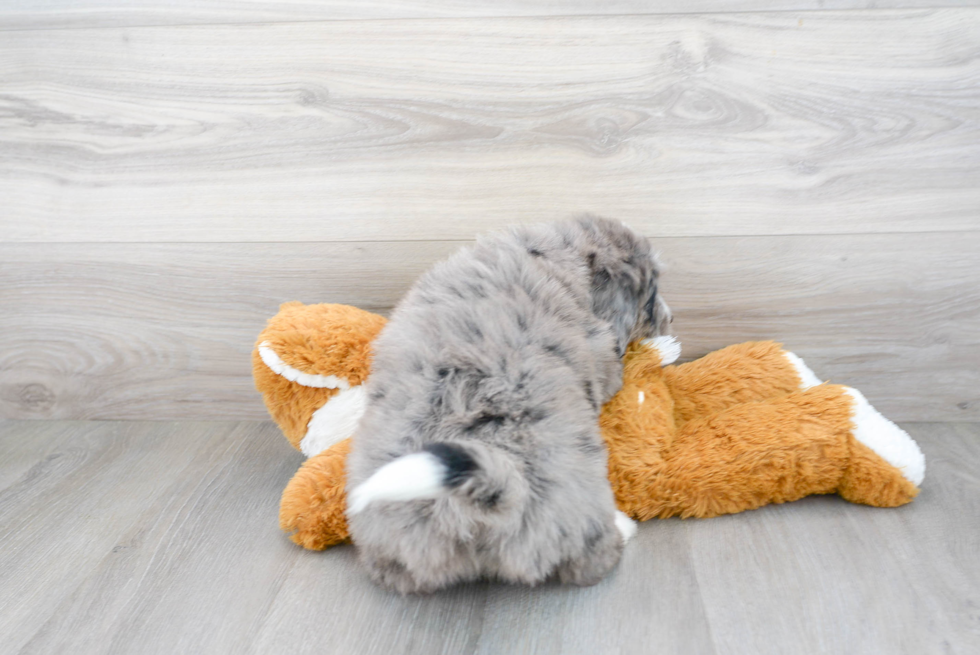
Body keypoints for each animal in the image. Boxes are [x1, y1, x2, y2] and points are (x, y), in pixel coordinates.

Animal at [344, 217, 672, 596]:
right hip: (581, 516)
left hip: (392, 551)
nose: (671, 319)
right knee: (592, 559)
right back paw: (623, 528)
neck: (553, 255)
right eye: (651, 295)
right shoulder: (600, 351)